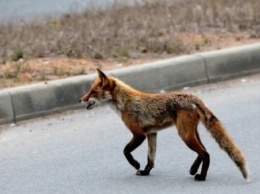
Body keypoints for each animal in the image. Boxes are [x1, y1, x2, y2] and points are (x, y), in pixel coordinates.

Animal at [79, 68, 250, 182]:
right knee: (204, 151)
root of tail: (192, 96)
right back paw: (194, 169)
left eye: (93, 91)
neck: (125, 102)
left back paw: (202, 176)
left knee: (205, 154)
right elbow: (151, 159)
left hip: (184, 135)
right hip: (191, 133)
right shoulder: (151, 134)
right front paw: (145, 172)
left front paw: (135, 164)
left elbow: (126, 151)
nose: (80, 100)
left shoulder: (138, 134)